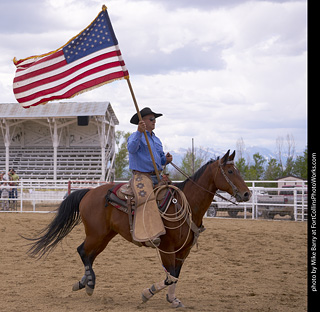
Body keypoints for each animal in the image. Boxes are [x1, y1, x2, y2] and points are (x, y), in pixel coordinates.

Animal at [26, 150, 250, 308]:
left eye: (238, 170)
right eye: (230, 171)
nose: (247, 194)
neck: (184, 203)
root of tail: (89, 192)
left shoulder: (183, 251)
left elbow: (176, 275)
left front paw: (173, 300)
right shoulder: (167, 249)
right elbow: (169, 276)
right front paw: (147, 293)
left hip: (105, 236)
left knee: (89, 255)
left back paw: (83, 282)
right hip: (96, 234)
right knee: (82, 251)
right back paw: (89, 284)